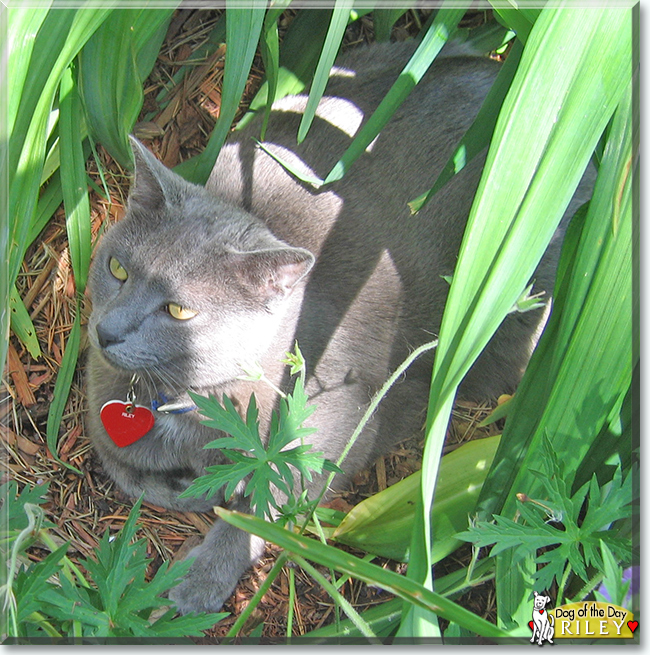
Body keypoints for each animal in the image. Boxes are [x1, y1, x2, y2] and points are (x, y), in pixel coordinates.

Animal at [85, 41, 588, 616]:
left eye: (179, 312)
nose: (107, 332)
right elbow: (121, 464)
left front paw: (194, 580)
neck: (184, 400)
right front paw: (191, 488)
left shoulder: (334, 431)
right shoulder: (98, 403)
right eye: (118, 269)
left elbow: (266, 505)